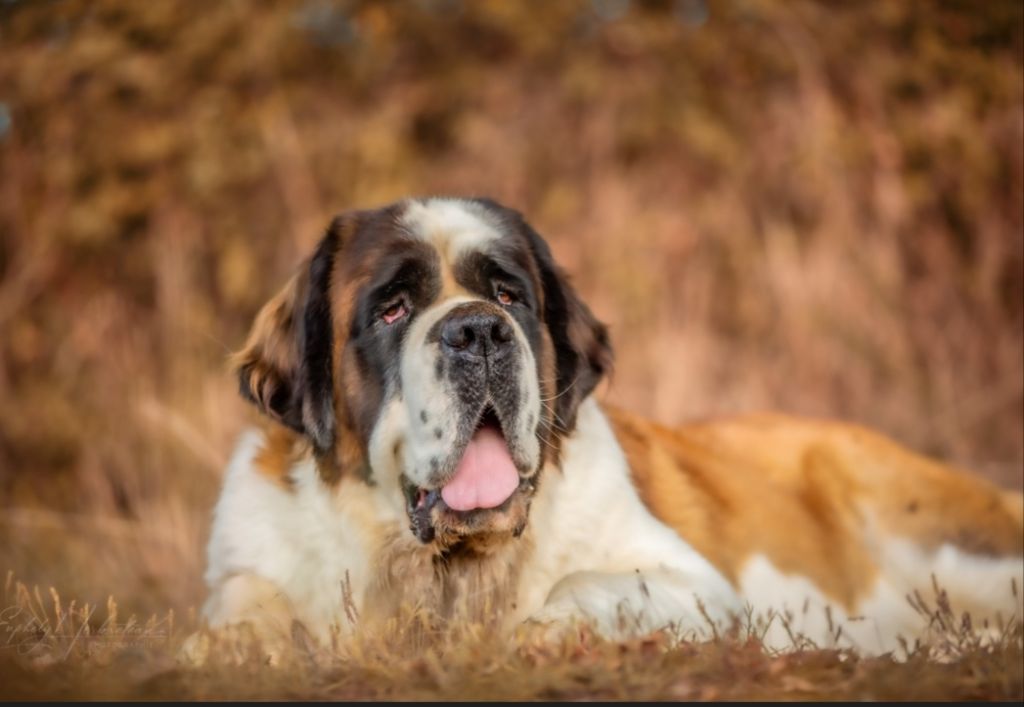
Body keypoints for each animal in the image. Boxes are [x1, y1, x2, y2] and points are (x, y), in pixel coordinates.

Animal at [201, 193, 1024, 655]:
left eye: (510, 294)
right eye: (393, 308)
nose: (479, 330)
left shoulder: (695, 582)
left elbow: (587, 582)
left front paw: (541, 631)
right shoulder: (256, 553)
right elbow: (248, 599)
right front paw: (226, 645)